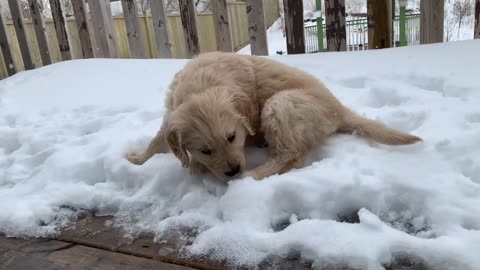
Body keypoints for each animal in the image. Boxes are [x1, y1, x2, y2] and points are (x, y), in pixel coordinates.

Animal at [126, 51, 420, 180]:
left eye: (232, 137)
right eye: (205, 150)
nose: (233, 171)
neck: (203, 84)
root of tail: (338, 109)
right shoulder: (171, 112)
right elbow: (157, 140)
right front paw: (137, 159)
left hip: (281, 103)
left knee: (290, 154)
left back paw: (251, 177)